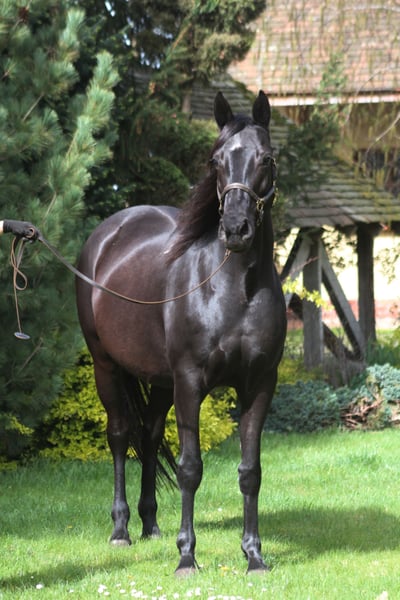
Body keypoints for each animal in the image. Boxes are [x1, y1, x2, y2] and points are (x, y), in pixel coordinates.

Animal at [75, 90, 287, 575]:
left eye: (266, 159)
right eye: (216, 161)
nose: (236, 229)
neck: (234, 288)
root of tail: (106, 234)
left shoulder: (259, 384)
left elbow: (251, 472)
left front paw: (254, 556)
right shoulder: (191, 382)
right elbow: (192, 468)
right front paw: (187, 556)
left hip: (159, 381)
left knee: (150, 435)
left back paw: (151, 524)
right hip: (106, 367)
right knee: (120, 436)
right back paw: (121, 530)